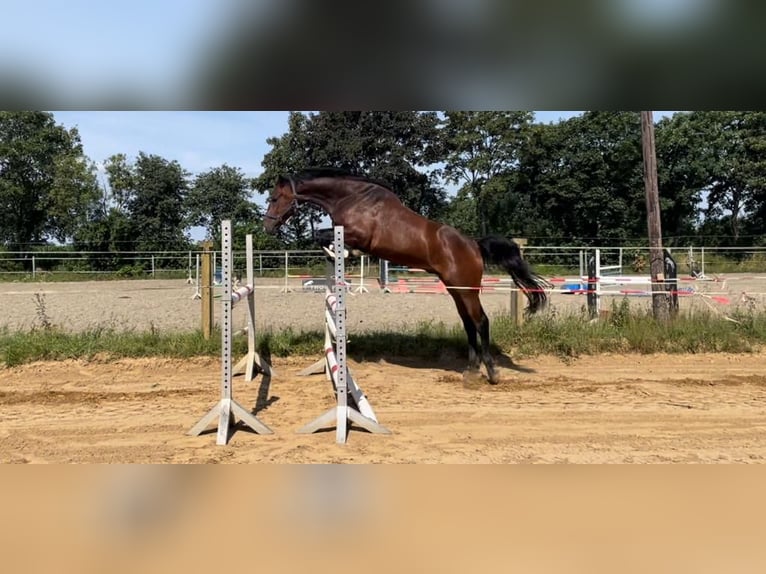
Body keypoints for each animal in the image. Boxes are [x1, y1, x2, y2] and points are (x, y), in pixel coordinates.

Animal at [260, 169, 548, 384]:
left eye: (274, 198)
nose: (267, 225)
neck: (351, 198)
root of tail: (474, 245)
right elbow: (321, 235)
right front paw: (336, 253)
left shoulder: (358, 235)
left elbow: (319, 234)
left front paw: (339, 251)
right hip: (455, 289)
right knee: (468, 323)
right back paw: (470, 369)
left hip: (466, 288)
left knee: (481, 321)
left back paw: (491, 371)